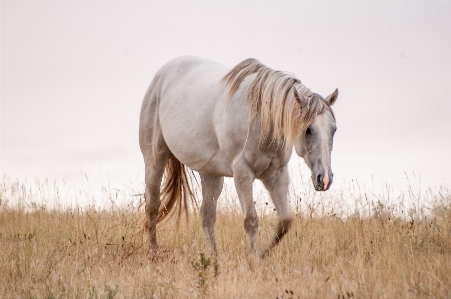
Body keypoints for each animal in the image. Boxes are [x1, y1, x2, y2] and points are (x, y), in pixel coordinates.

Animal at [139, 56, 338, 258]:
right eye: (308, 130)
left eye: (334, 129)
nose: (324, 179)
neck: (261, 120)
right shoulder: (243, 173)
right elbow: (251, 220)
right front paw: (255, 259)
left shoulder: (277, 175)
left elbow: (285, 221)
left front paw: (262, 253)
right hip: (155, 157)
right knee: (153, 204)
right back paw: (153, 251)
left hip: (210, 173)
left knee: (207, 215)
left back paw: (214, 257)